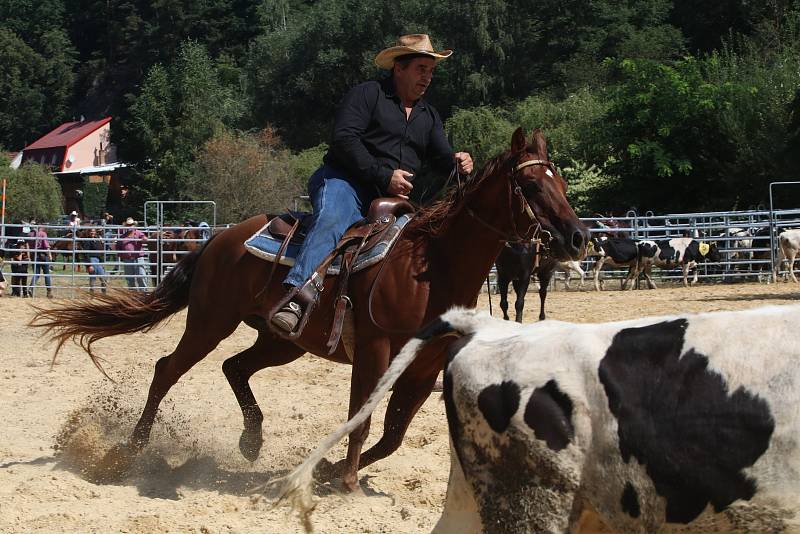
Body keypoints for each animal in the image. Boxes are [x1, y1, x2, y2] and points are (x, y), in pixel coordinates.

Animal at [31, 129, 588, 490]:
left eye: (562, 183)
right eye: (532, 185)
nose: (579, 237)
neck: (429, 266)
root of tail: (218, 240)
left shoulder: (422, 369)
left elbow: (394, 435)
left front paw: (328, 470)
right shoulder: (375, 352)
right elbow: (362, 419)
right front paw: (346, 480)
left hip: (281, 340)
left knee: (235, 367)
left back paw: (251, 440)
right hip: (211, 321)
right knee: (167, 369)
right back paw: (128, 450)